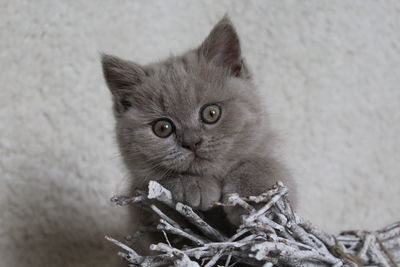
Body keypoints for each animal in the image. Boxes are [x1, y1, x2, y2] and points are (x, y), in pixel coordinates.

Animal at [101, 16, 296, 241]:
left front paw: (253, 197)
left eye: (211, 113)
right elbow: (159, 207)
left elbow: (266, 166)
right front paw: (191, 185)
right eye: (162, 128)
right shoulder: (141, 205)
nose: (192, 142)